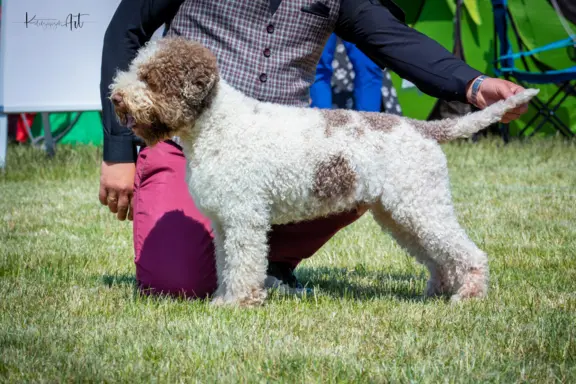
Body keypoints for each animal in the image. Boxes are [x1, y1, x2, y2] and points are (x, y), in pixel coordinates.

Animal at [109, 36, 540, 306]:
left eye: (150, 77)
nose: (115, 97)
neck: (217, 124)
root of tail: (423, 127)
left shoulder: (244, 217)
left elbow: (243, 263)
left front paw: (238, 303)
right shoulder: (223, 221)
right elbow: (225, 264)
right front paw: (223, 298)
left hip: (422, 204)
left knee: (467, 252)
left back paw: (468, 296)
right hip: (400, 212)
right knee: (437, 256)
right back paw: (436, 293)